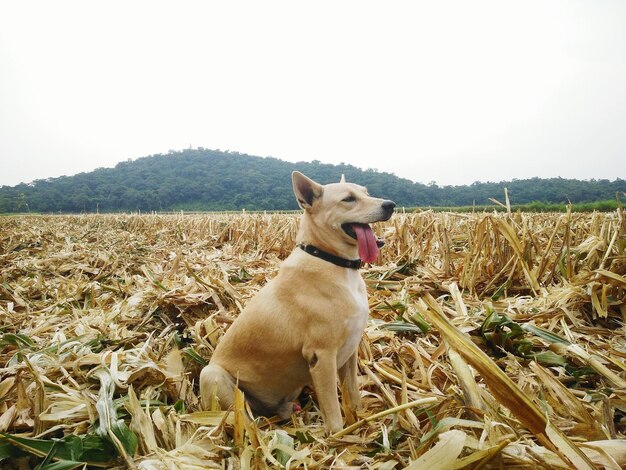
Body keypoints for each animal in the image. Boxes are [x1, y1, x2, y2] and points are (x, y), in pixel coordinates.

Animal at [199, 170, 394, 434]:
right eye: (348, 199)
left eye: (366, 192)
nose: (390, 205)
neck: (331, 261)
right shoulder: (321, 355)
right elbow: (333, 410)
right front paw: (339, 437)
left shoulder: (350, 350)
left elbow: (352, 393)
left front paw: (360, 421)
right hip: (212, 375)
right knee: (242, 420)